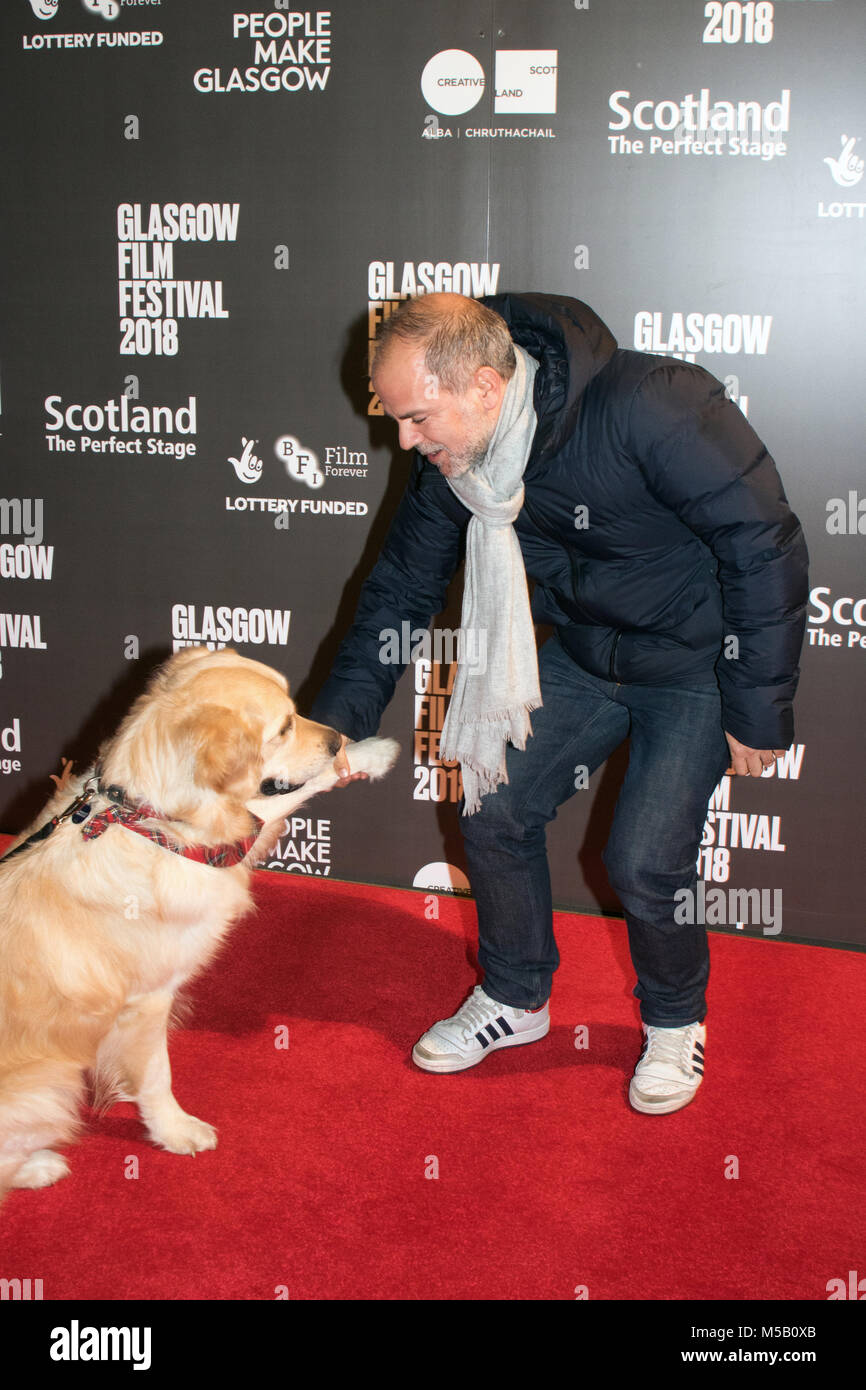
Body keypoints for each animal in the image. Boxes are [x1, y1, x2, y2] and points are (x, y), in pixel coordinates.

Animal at [0, 644, 400, 1200]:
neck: (146, 823)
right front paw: (174, 1130)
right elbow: (155, 1077)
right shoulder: (146, 1002)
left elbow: (278, 797)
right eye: (282, 728)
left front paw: (367, 755)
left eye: (295, 713)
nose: (336, 739)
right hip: (48, 1085)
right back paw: (38, 1166)